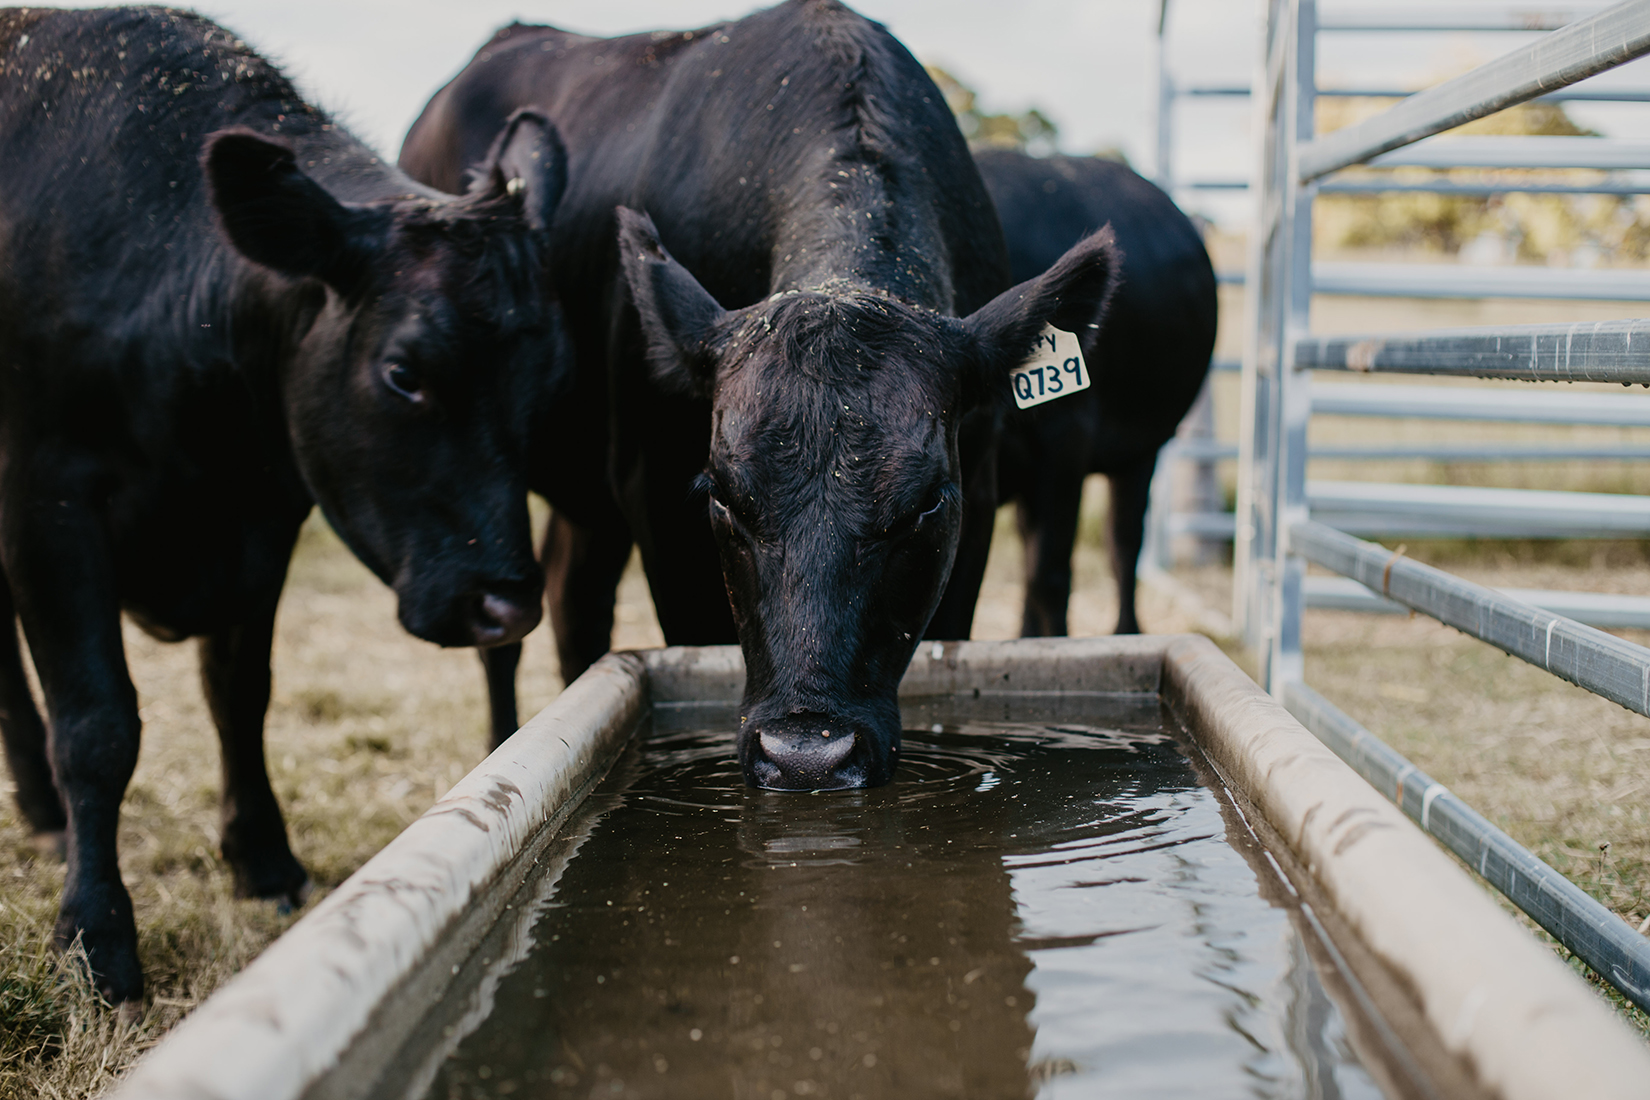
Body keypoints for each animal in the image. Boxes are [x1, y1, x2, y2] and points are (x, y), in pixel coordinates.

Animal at [0, 7, 569, 1005]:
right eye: (404, 372)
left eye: (549, 376)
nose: (506, 604)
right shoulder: (48, 500)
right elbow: (98, 726)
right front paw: (96, 941)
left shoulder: (259, 523)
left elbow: (241, 692)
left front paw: (262, 859)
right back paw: (42, 805)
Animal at [399, 0, 1119, 790]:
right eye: (719, 493)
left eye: (926, 502)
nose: (806, 755)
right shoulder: (655, 491)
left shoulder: (980, 492)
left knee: (572, 596)